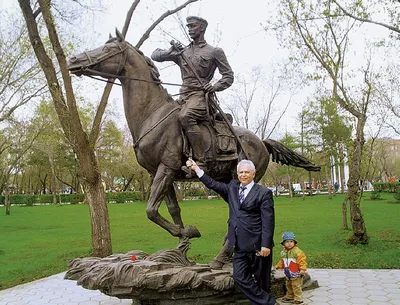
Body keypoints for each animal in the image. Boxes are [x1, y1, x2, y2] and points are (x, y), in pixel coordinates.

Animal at [68, 30, 318, 242]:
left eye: (107, 49)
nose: (73, 60)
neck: (152, 113)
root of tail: (262, 142)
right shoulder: (156, 172)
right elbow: (171, 209)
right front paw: (183, 240)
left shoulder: (166, 168)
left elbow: (151, 210)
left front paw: (187, 231)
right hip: (224, 181)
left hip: (241, 179)